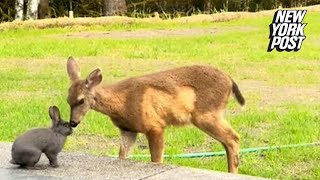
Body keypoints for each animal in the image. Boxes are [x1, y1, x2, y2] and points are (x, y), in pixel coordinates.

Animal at [65, 56, 245, 173]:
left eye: (81, 100)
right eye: (68, 100)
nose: (73, 122)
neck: (121, 103)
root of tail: (230, 81)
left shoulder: (155, 125)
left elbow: (156, 159)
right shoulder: (128, 130)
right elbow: (122, 155)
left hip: (206, 114)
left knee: (233, 138)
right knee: (228, 141)